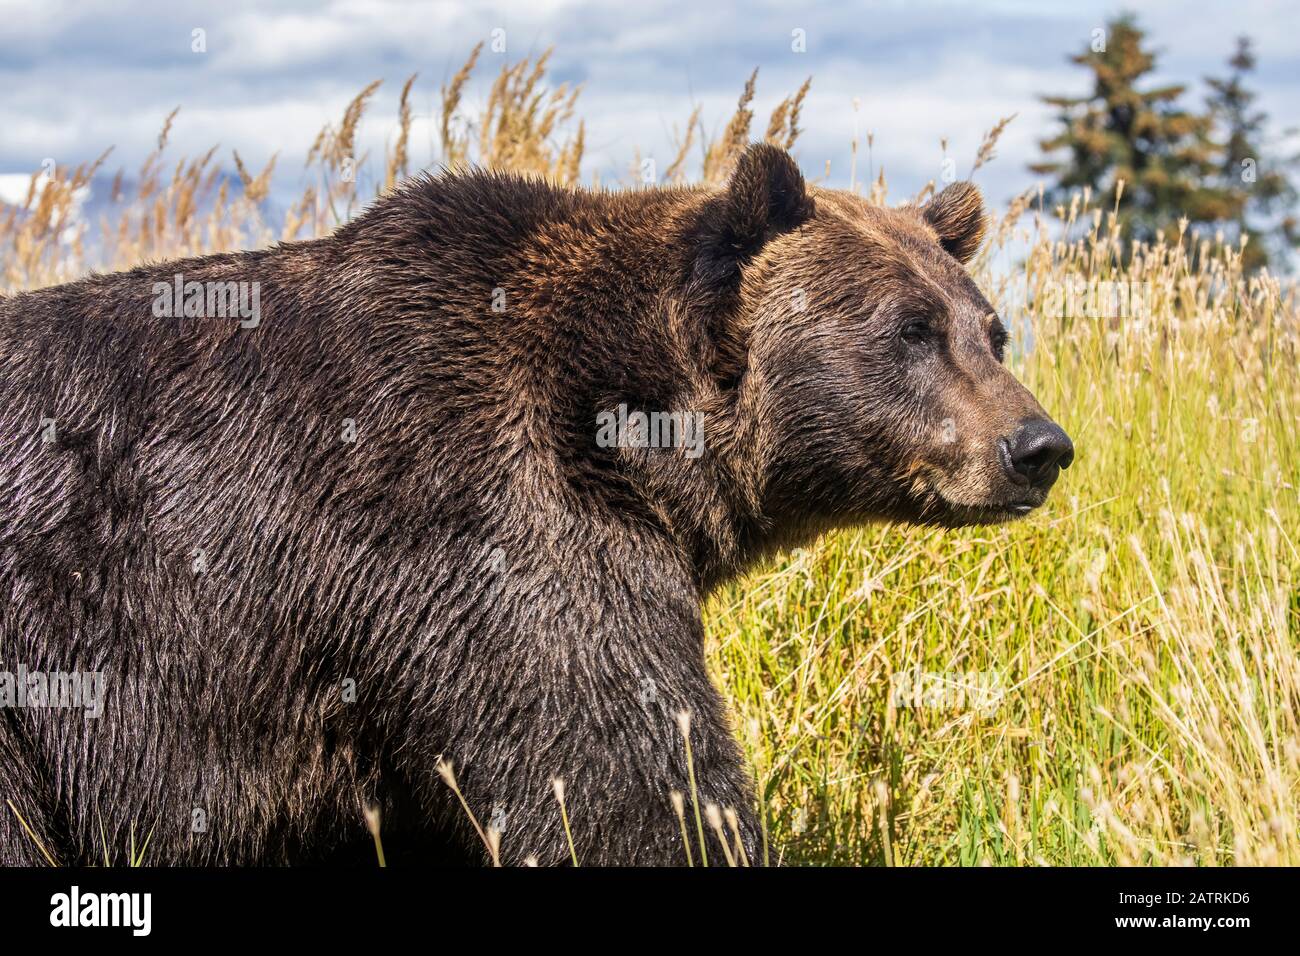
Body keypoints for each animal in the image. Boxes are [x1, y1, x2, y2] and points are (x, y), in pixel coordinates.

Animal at [0, 141, 1071, 868]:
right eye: (910, 329)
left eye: (991, 330)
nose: (1038, 447)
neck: (631, 434)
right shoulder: (475, 526)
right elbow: (619, 777)